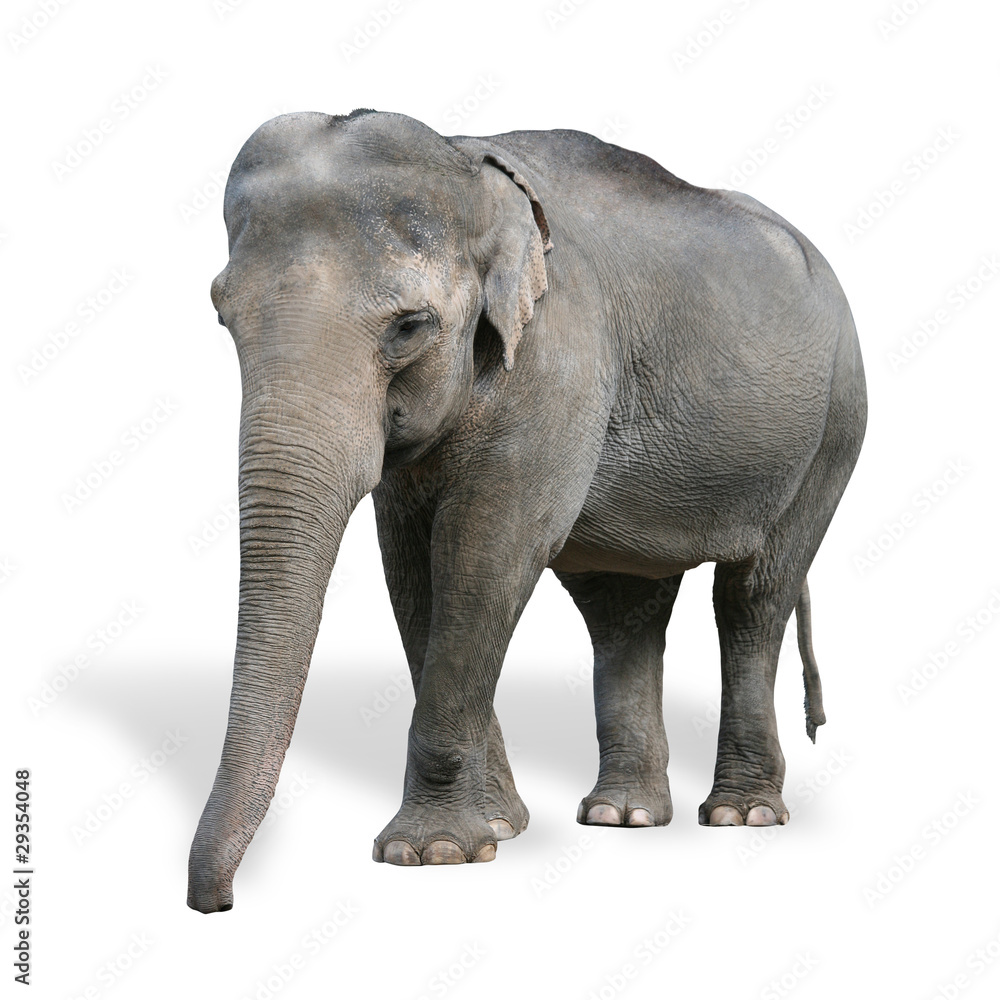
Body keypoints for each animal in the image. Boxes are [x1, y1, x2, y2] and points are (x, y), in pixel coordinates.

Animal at [187, 108, 867, 913]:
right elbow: (411, 571)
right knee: (625, 611)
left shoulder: (557, 367)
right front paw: (498, 829)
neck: (467, 163)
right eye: (221, 315)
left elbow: (487, 554)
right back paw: (622, 816)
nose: (216, 903)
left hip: (833, 430)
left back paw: (741, 814)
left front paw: (433, 853)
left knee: (753, 599)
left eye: (409, 326)